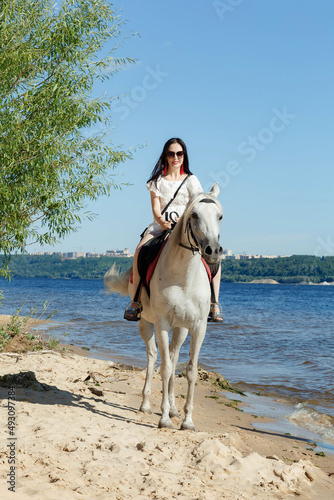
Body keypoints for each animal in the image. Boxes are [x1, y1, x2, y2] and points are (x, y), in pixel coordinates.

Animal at [104, 184, 223, 430]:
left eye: (220, 216)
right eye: (194, 215)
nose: (213, 251)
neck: (184, 277)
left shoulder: (198, 327)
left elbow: (190, 370)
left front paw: (186, 420)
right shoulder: (162, 324)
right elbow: (165, 368)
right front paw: (165, 418)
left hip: (181, 329)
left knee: (174, 358)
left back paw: (174, 408)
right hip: (146, 323)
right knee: (152, 357)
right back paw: (147, 404)